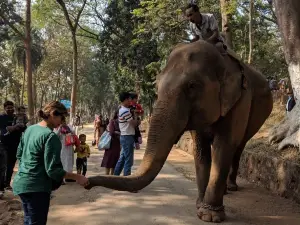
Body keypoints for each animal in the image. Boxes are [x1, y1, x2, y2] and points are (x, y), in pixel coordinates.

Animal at [85, 40, 274, 223]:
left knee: (239, 146)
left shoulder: (240, 101)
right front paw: (200, 206)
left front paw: (210, 216)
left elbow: (224, 146)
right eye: (157, 86)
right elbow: (201, 150)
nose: (86, 182)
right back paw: (226, 191)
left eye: (192, 86)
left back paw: (232, 187)